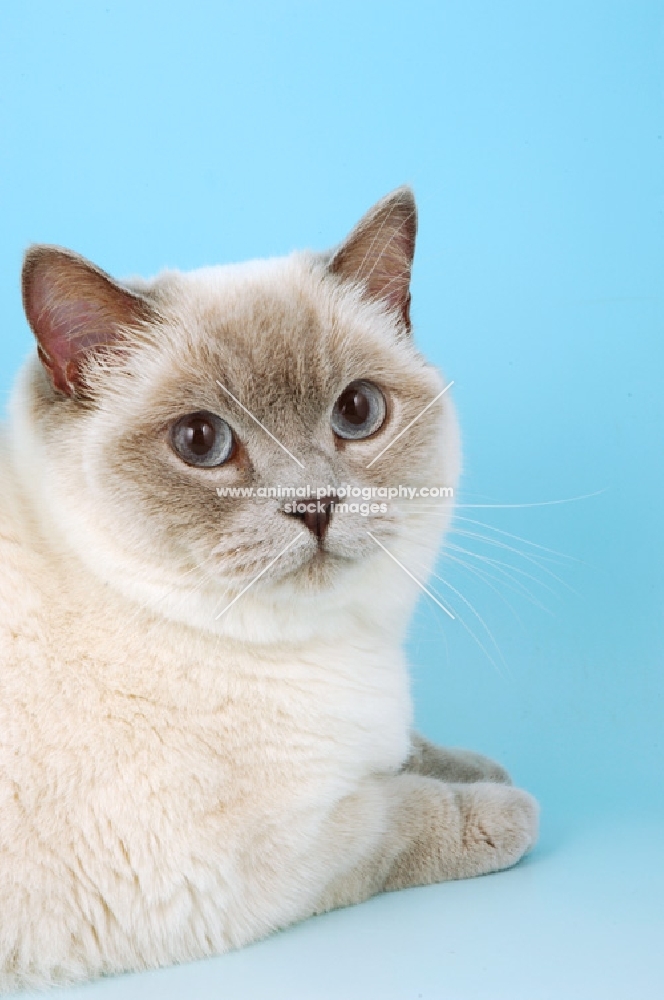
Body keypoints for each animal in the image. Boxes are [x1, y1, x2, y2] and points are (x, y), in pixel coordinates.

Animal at [0, 189, 540, 992]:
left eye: (357, 411)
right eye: (200, 442)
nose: (314, 506)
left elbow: (411, 753)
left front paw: (475, 765)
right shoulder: (256, 862)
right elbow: (399, 815)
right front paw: (503, 806)